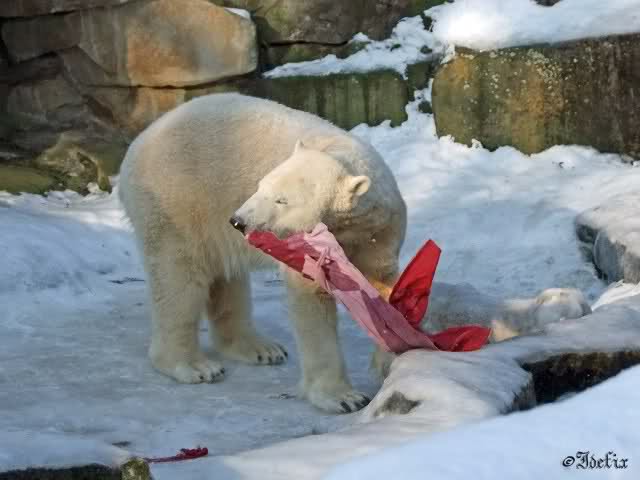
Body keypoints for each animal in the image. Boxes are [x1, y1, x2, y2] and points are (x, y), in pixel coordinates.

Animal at [118, 93, 406, 413]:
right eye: (260, 186)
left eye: (282, 200)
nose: (239, 221)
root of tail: (137, 144)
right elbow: (312, 302)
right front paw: (343, 397)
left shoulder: (379, 230)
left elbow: (382, 284)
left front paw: (388, 362)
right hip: (177, 203)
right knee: (179, 280)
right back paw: (193, 366)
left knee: (227, 277)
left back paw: (259, 349)